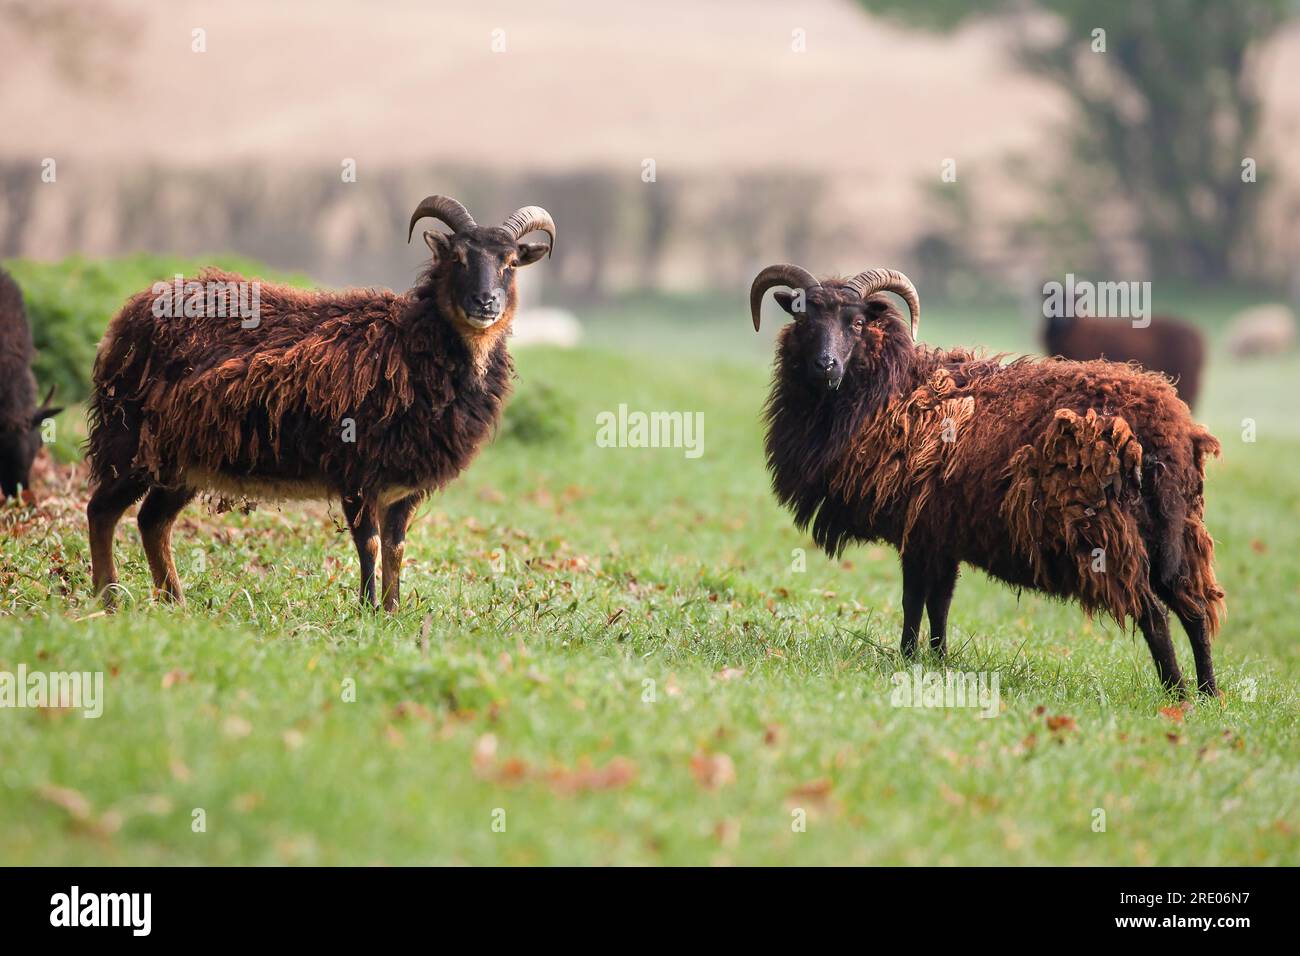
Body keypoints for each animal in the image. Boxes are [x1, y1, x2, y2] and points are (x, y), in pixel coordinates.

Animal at [86, 197, 553, 608]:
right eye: (457, 258)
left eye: (510, 263)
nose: (485, 303)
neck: (408, 342)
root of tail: (125, 319)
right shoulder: (356, 470)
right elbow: (369, 543)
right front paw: (367, 610)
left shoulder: (404, 484)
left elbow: (396, 547)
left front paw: (393, 610)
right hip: (130, 440)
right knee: (102, 511)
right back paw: (108, 599)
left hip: (182, 461)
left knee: (152, 521)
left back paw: (174, 602)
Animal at [759, 265, 1222, 697]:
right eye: (804, 319)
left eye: (856, 323)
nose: (826, 365)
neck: (891, 391)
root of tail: (1167, 427)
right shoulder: (940, 532)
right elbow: (939, 601)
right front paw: (936, 659)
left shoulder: (918, 529)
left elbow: (914, 599)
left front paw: (907, 656)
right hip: (1174, 532)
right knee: (1194, 608)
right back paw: (1208, 693)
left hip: (1109, 537)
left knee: (1156, 615)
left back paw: (1177, 692)